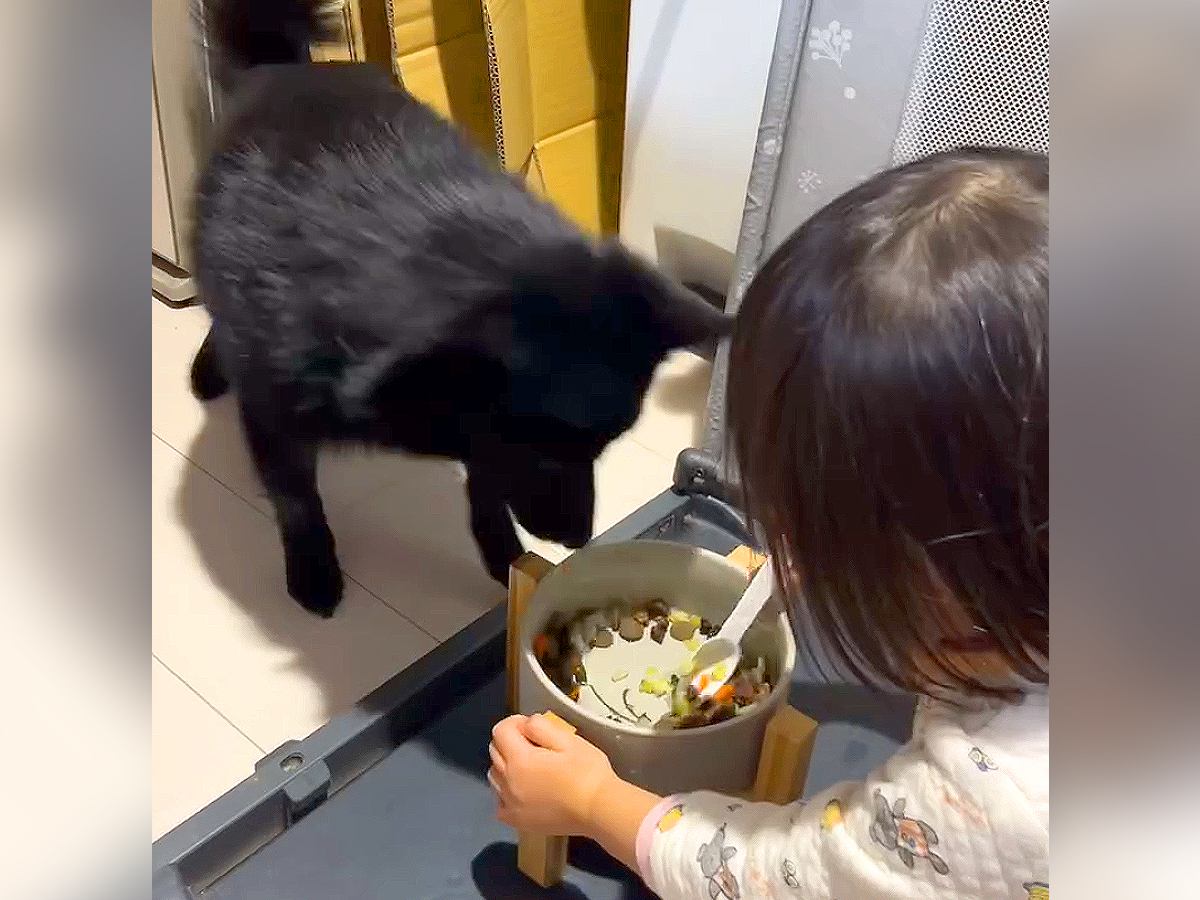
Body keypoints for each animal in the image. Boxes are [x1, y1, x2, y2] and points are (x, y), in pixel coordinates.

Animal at [190, 0, 728, 616]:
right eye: (545, 454)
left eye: (600, 448)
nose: (578, 540)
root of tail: (284, 66)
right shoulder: (273, 408)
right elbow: (296, 497)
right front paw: (313, 570)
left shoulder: (477, 430)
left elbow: (486, 489)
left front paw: (506, 559)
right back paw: (208, 370)